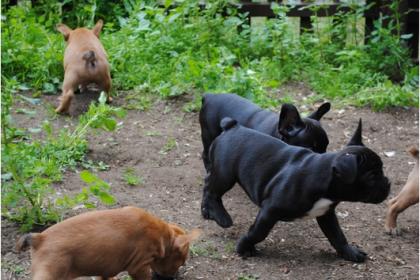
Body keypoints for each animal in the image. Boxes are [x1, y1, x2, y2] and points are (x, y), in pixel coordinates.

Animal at [16, 206, 200, 280]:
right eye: (181, 263)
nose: (175, 276)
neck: (164, 235)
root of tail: (39, 238)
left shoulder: (105, 267)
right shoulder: (139, 267)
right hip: (49, 273)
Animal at [201, 118, 390, 262]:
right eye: (372, 177)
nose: (388, 183)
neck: (326, 181)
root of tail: (232, 126)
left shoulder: (326, 214)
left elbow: (337, 235)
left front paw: (349, 252)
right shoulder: (269, 211)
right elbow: (257, 233)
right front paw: (244, 247)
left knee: (208, 184)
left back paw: (207, 211)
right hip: (226, 174)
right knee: (212, 190)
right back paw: (219, 215)